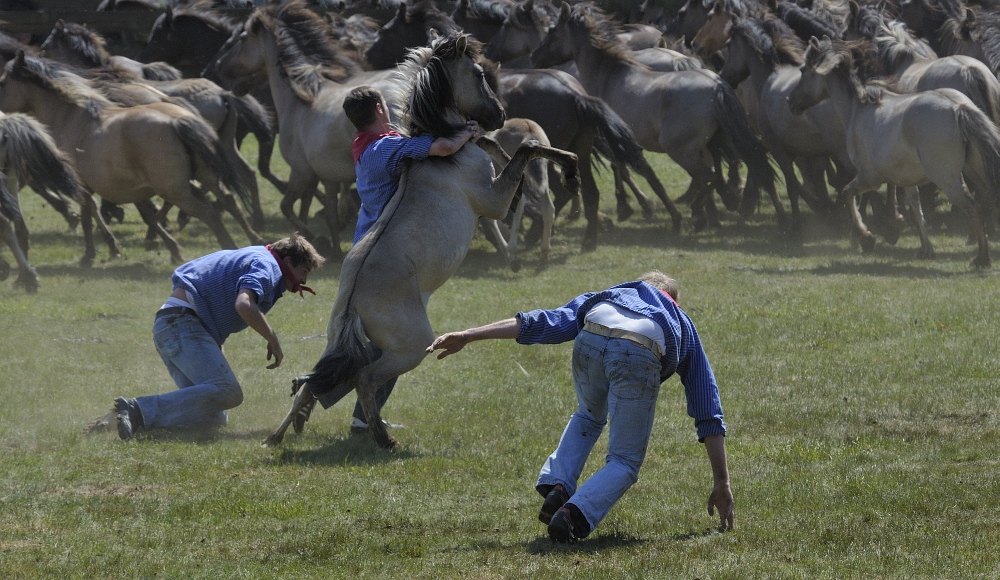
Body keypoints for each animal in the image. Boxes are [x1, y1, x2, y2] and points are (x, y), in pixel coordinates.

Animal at [262, 31, 584, 450]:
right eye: (479, 73)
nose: (499, 115)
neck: (441, 156)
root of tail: (351, 304)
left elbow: (505, 147)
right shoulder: (494, 203)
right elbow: (525, 150)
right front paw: (571, 171)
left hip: (347, 343)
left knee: (313, 384)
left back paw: (279, 434)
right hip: (411, 348)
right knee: (362, 379)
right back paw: (384, 440)